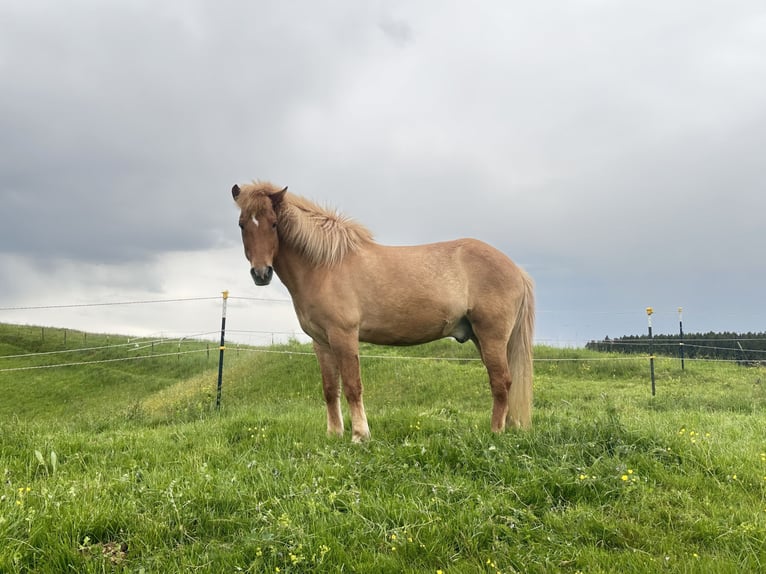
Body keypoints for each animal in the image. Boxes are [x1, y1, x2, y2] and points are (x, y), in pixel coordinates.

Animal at [231, 181, 535, 442]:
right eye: (242, 224)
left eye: (273, 224)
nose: (261, 274)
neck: (324, 266)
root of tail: (515, 269)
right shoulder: (321, 342)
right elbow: (331, 389)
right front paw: (334, 434)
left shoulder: (344, 336)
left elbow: (352, 386)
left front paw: (359, 436)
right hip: (483, 339)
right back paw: (508, 427)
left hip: (491, 337)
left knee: (501, 381)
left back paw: (496, 433)